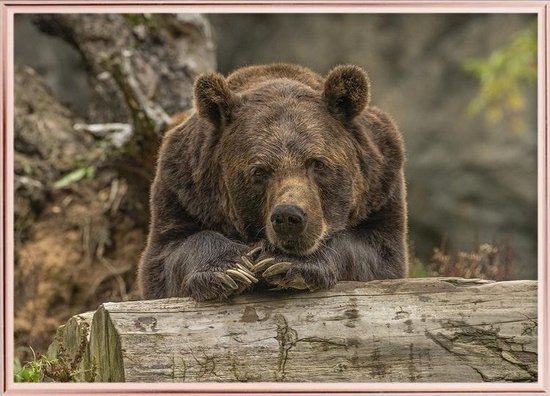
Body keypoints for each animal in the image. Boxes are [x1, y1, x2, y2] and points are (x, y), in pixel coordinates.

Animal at [139, 63, 410, 302]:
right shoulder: (183, 190)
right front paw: (229, 269)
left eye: (317, 163)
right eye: (259, 171)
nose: (289, 217)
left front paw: (286, 263)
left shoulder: (380, 187)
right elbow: (167, 255)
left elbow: (377, 252)